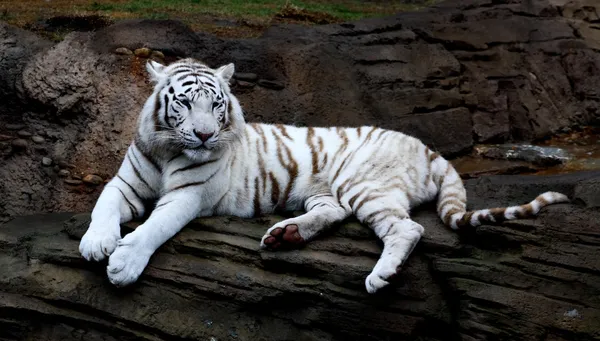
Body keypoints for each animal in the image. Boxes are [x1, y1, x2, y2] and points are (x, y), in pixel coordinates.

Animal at [78, 58, 568, 292]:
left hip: (362, 183)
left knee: (407, 229)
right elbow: (103, 205)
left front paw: (122, 264)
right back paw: (286, 235)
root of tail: (431, 150)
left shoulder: (189, 195)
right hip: (324, 191)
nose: (203, 134)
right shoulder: (126, 182)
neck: (167, 150)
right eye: (183, 102)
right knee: (334, 213)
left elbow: (155, 226)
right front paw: (95, 243)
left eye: (216, 104)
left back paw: (381, 276)